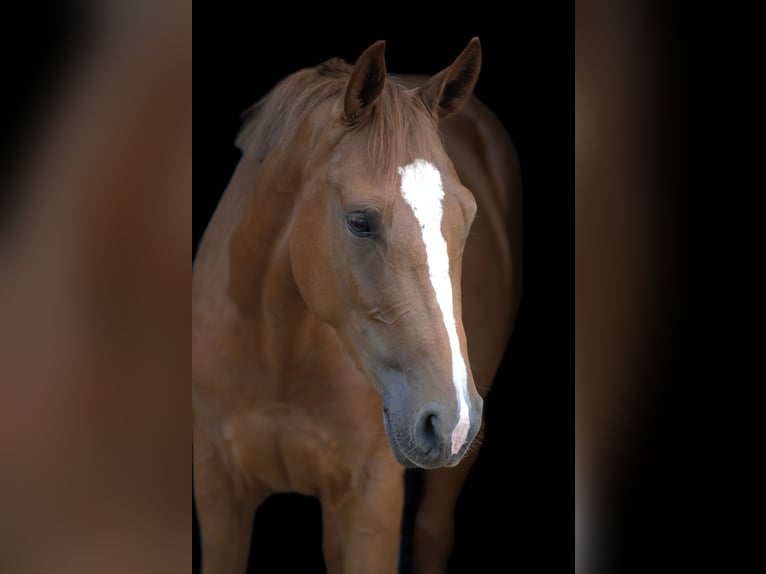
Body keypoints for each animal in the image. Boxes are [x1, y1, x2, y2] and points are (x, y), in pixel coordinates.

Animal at [195, 38, 524, 572]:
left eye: (469, 217)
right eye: (359, 222)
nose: (450, 419)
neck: (277, 350)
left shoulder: (372, 503)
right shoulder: (219, 491)